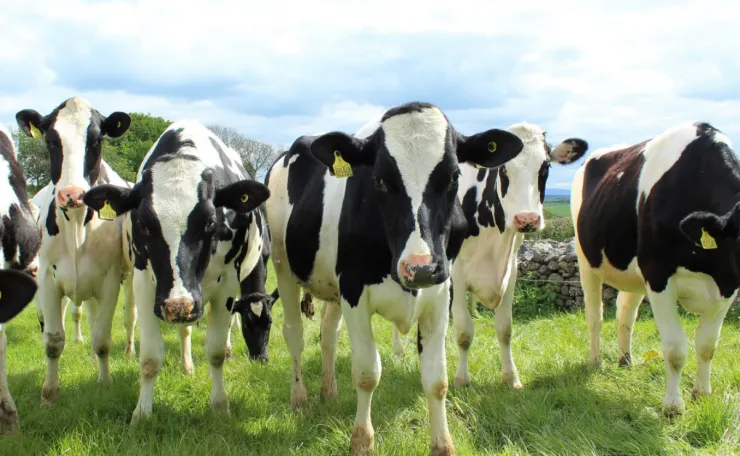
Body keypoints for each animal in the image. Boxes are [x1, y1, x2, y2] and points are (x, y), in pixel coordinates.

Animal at [15, 97, 136, 404]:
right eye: (51, 140)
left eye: (97, 140)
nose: (71, 194)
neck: (77, 228)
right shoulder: (47, 279)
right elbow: (53, 339)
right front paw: (49, 393)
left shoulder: (109, 281)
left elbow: (103, 339)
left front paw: (105, 383)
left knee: (129, 315)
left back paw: (127, 350)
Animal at [82, 120, 271, 422]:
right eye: (144, 224)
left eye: (210, 222)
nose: (178, 305)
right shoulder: (146, 285)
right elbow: (150, 357)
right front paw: (142, 413)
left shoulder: (228, 284)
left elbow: (216, 351)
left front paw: (220, 406)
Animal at [265, 101, 525, 456]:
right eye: (380, 180)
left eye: (453, 177)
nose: (420, 268)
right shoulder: (354, 292)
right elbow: (367, 372)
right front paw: (362, 440)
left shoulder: (441, 293)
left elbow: (436, 379)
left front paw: (442, 444)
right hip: (283, 266)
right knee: (294, 333)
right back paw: (300, 397)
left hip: (331, 286)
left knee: (328, 333)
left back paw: (328, 391)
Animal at [570, 121, 739, 416]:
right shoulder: (659, 275)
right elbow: (675, 348)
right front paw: (673, 406)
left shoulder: (728, 284)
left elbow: (707, 345)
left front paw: (702, 394)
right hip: (585, 259)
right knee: (595, 316)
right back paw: (595, 361)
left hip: (633, 273)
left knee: (625, 313)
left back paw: (625, 359)